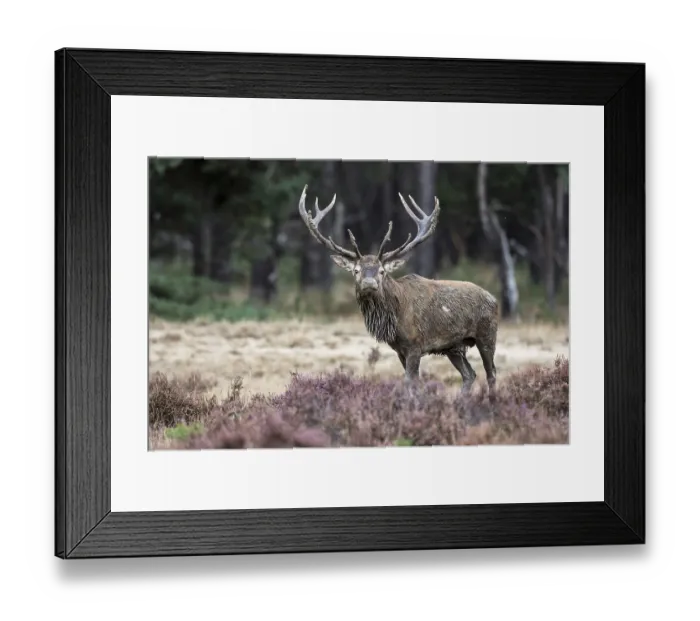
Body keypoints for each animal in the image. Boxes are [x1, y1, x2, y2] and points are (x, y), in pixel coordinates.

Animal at [298, 184, 500, 394]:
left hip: (487, 334)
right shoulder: (399, 349)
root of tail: (494, 299)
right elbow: (413, 381)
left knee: (491, 372)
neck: (394, 319)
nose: (369, 284)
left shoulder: (415, 344)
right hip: (454, 347)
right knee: (470, 374)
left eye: (381, 271)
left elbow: (411, 381)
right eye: (356, 270)